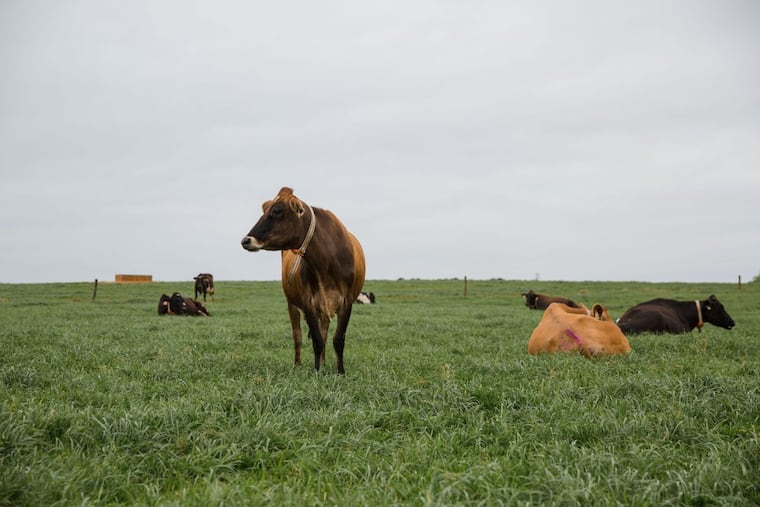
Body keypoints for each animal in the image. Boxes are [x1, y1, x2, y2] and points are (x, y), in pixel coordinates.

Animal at [241, 187, 366, 374]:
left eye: (277, 211)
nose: (246, 240)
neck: (326, 263)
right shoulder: (308, 303)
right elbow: (317, 340)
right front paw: (317, 372)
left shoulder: (347, 302)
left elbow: (338, 340)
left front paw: (340, 371)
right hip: (292, 304)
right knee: (297, 335)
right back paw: (298, 364)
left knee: (324, 332)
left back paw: (324, 362)